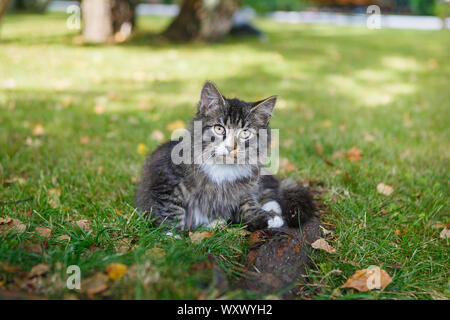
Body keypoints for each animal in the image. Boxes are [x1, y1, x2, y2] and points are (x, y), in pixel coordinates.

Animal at [135, 80, 314, 230]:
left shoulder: (244, 190)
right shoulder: (165, 183)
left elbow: (248, 206)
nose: (230, 147)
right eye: (219, 128)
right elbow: (171, 209)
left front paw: (268, 218)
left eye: (245, 133)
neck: (223, 167)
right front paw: (172, 237)